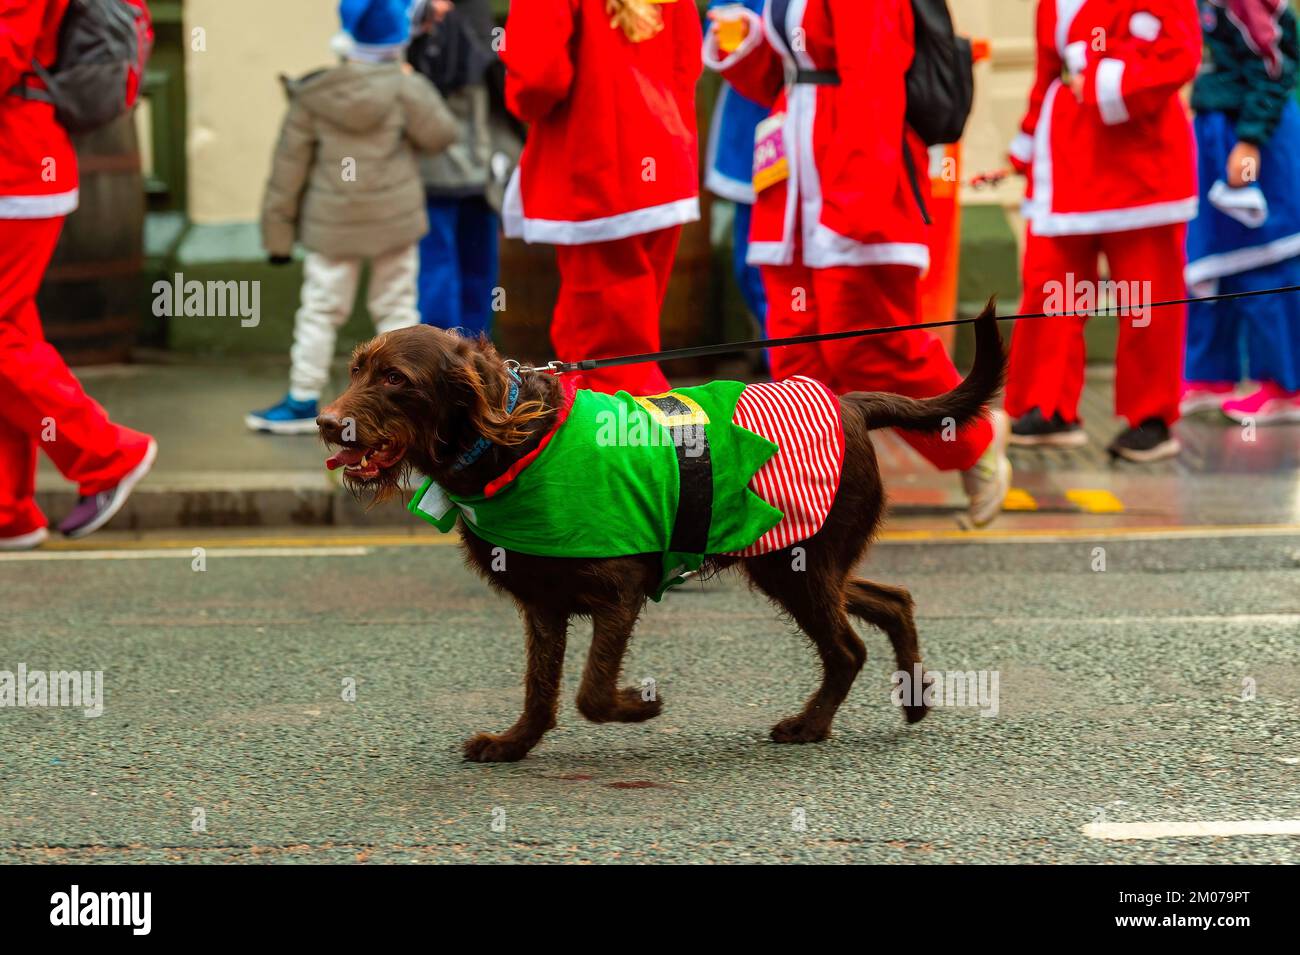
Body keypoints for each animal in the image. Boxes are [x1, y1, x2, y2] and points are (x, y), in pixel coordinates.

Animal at [317, 304, 1003, 764]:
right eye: (356, 369)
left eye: (397, 379)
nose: (326, 422)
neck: (512, 440)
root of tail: (853, 405)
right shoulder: (543, 603)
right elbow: (541, 689)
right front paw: (514, 744)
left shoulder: (618, 590)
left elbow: (591, 692)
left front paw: (639, 705)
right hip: (799, 562)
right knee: (893, 600)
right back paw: (913, 699)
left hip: (797, 566)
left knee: (849, 648)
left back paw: (809, 727)